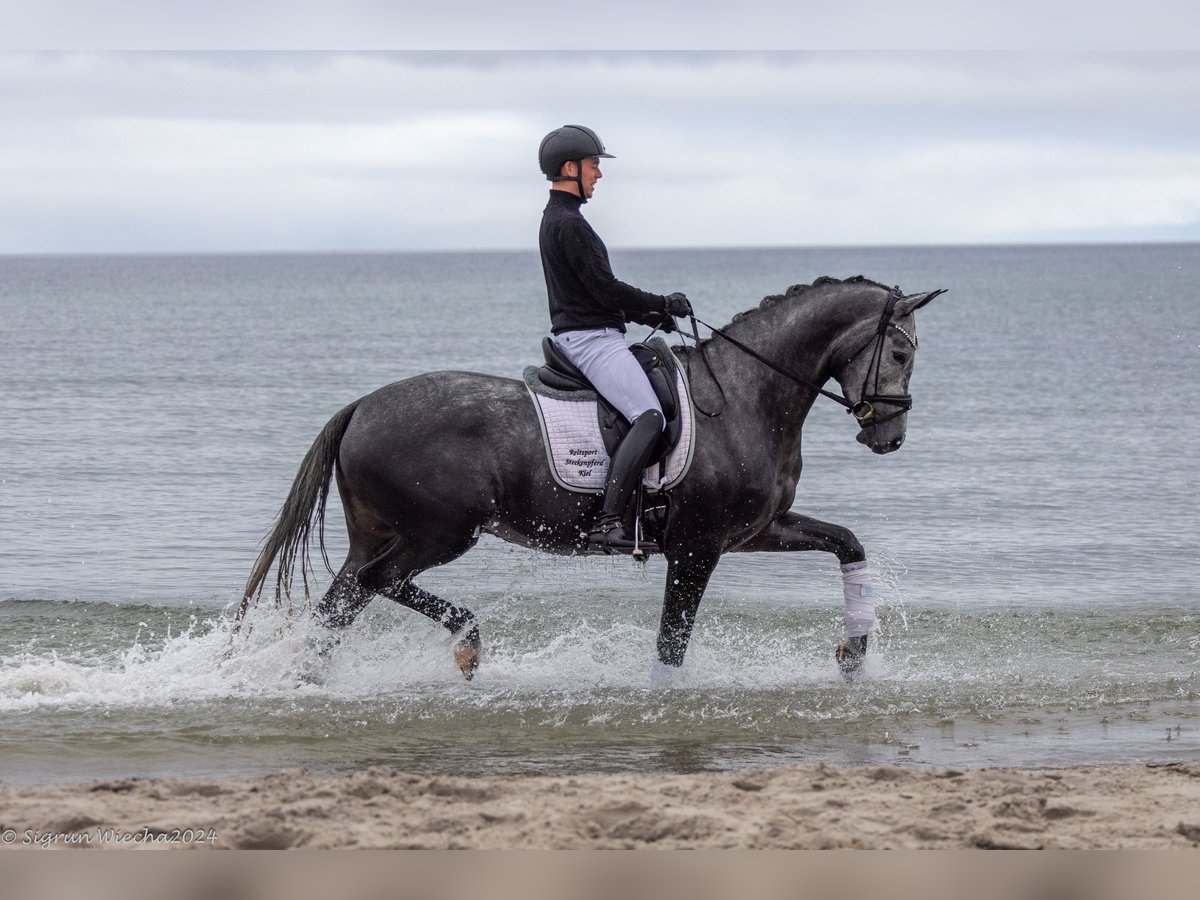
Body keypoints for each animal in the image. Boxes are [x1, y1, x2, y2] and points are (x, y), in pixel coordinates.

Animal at [238, 274, 940, 681]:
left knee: (341, 604)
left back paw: (312, 683)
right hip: (440, 533)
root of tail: (362, 406)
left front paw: (854, 655)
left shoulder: (754, 531)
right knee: (375, 585)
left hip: (381, 534)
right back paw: (467, 643)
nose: (890, 436)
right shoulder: (697, 547)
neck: (743, 395)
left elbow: (847, 542)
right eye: (901, 351)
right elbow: (671, 644)